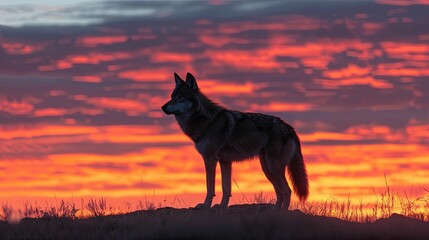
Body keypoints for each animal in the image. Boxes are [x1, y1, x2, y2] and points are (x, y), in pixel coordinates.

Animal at [161, 72, 308, 210]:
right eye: (172, 97)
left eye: (180, 97)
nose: (163, 107)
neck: (207, 122)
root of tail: (289, 127)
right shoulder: (225, 161)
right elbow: (226, 189)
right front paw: (222, 207)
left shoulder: (210, 159)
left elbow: (210, 187)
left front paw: (205, 206)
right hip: (267, 168)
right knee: (280, 192)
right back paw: (273, 212)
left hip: (273, 167)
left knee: (287, 191)